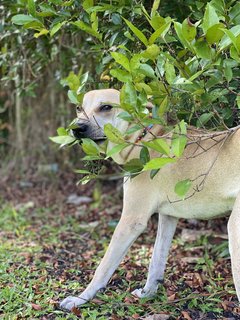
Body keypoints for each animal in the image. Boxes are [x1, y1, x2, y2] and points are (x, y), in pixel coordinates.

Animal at [60, 88, 240, 310]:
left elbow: (103, 267)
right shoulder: (168, 217)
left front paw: (82, 298)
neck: (142, 139)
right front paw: (148, 293)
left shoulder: (131, 221)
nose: (77, 127)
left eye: (106, 107)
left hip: (235, 230)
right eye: (78, 107)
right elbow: (157, 260)